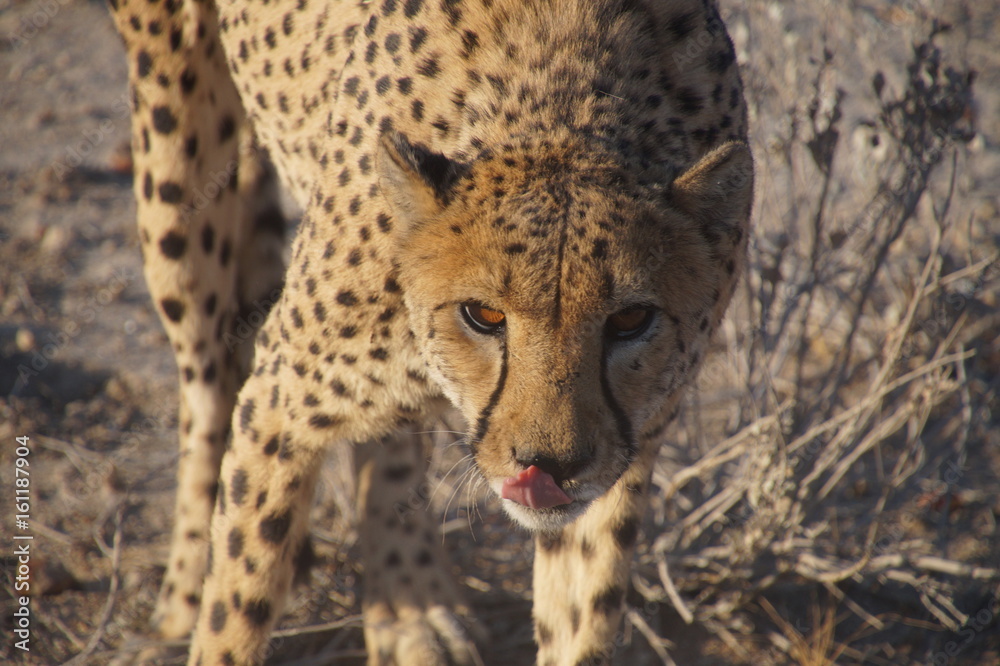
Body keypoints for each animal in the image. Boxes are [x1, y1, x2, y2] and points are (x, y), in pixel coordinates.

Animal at [106, 0, 753, 663]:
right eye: (483, 315)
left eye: (629, 320)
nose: (550, 465)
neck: (567, 96)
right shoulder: (279, 401)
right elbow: (236, 603)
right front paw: (214, 613)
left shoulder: (624, 453)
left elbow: (583, 616)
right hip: (176, 156)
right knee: (207, 385)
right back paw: (183, 597)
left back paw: (410, 609)